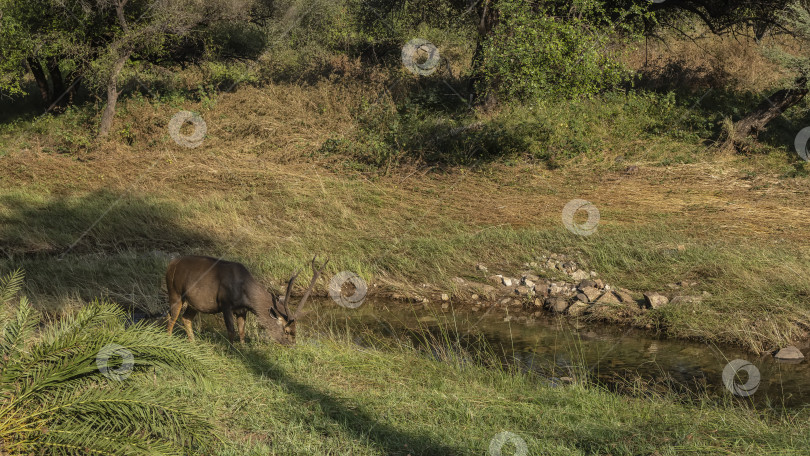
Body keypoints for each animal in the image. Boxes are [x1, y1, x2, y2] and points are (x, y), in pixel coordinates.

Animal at [164, 255, 328, 344]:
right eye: (286, 330)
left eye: (296, 329)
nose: (292, 345)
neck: (245, 294)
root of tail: (170, 264)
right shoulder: (225, 304)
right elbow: (231, 330)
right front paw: (231, 350)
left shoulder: (242, 310)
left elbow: (242, 331)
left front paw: (243, 349)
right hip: (174, 292)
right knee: (171, 316)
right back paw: (169, 339)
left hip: (194, 303)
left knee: (185, 318)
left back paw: (192, 342)